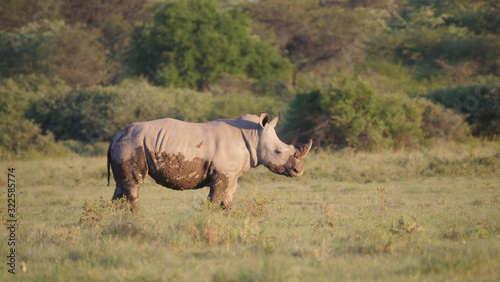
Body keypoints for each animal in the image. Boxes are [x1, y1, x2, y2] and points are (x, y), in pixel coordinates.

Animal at [107, 112, 312, 212]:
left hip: (125, 145)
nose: (299, 170)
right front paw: (208, 220)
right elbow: (214, 200)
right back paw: (139, 219)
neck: (254, 135)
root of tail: (115, 136)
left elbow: (227, 200)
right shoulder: (222, 174)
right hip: (132, 145)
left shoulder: (233, 174)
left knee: (121, 187)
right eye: (278, 151)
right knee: (134, 184)